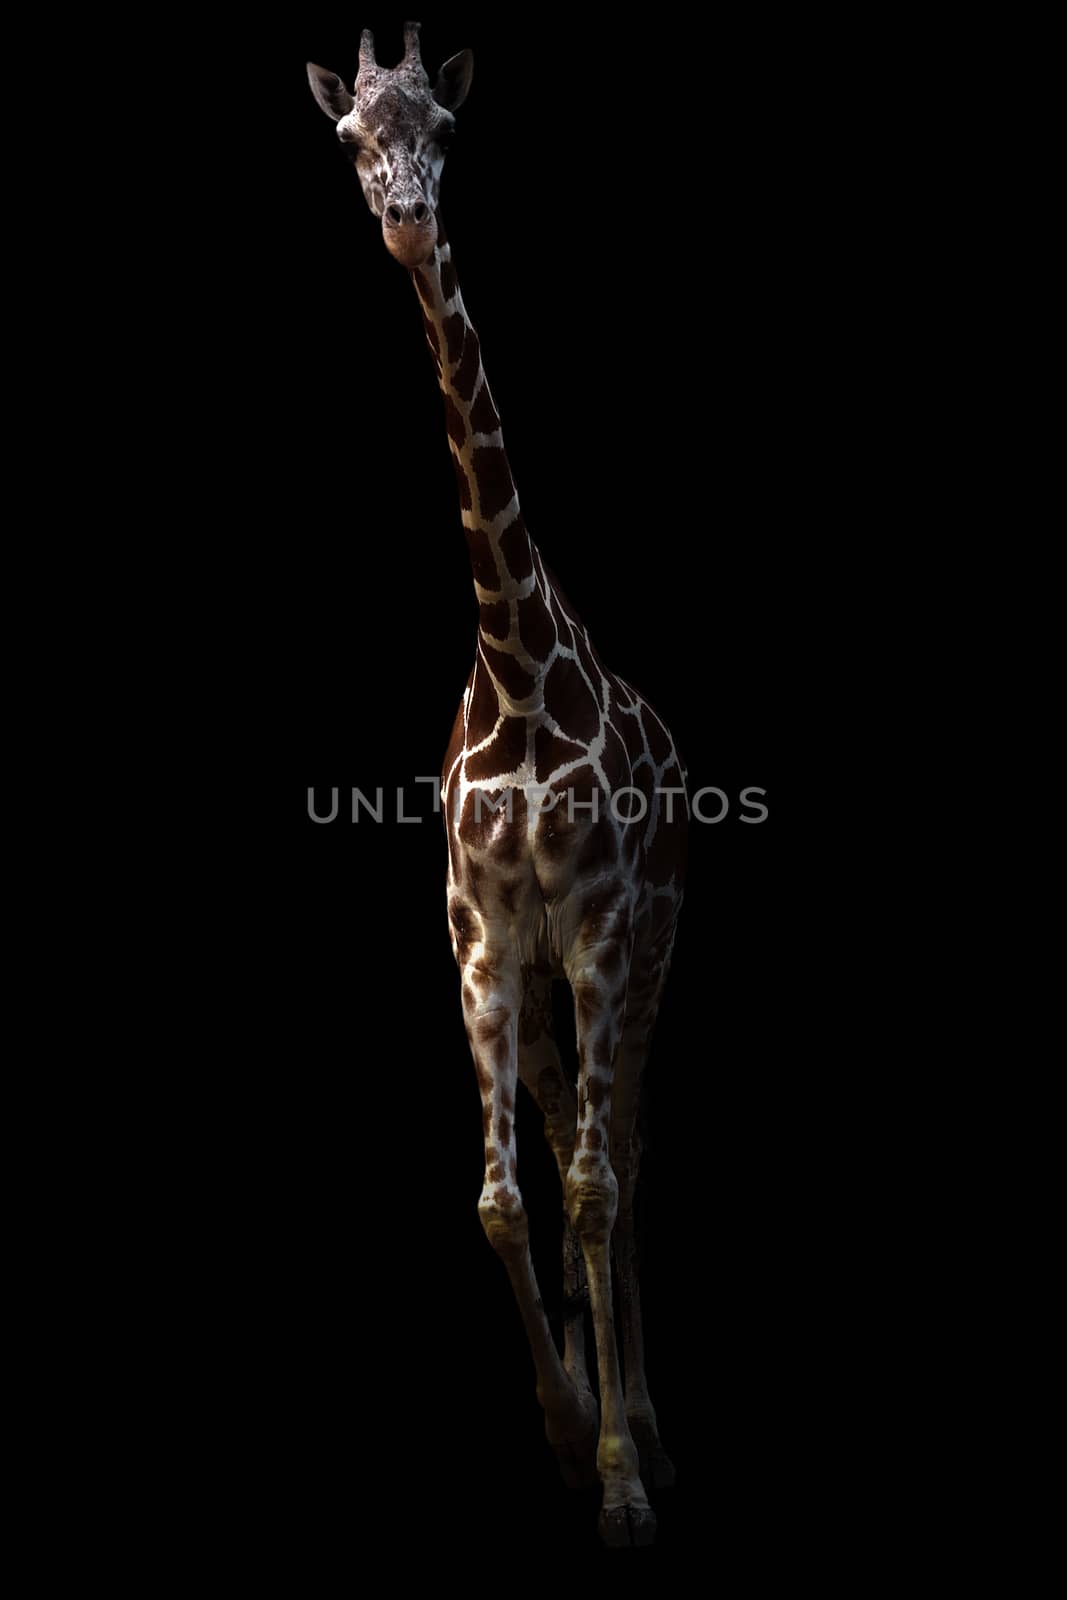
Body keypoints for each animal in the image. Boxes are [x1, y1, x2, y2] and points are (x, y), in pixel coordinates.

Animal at [308, 25, 694, 1548]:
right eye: (353, 138)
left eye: (445, 133)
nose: (409, 219)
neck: (517, 666)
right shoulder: (482, 941)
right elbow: (496, 1199)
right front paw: (563, 1425)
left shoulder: (593, 932)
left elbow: (590, 1183)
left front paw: (621, 1474)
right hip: (536, 987)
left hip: (643, 960)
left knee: (628, 1159)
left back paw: (647, 1421)